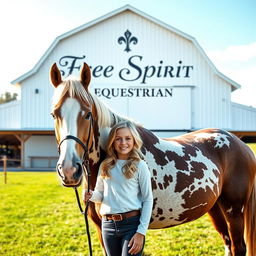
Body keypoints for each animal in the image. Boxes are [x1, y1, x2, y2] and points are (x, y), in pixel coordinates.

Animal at [49, 62, 256, 256]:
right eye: (54, 114)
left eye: (87, 114)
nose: (69, 170)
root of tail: (241, 145)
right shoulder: (102, 230)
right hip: (215, 208)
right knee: (228, 244)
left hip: (234, 210)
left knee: (238, 247)